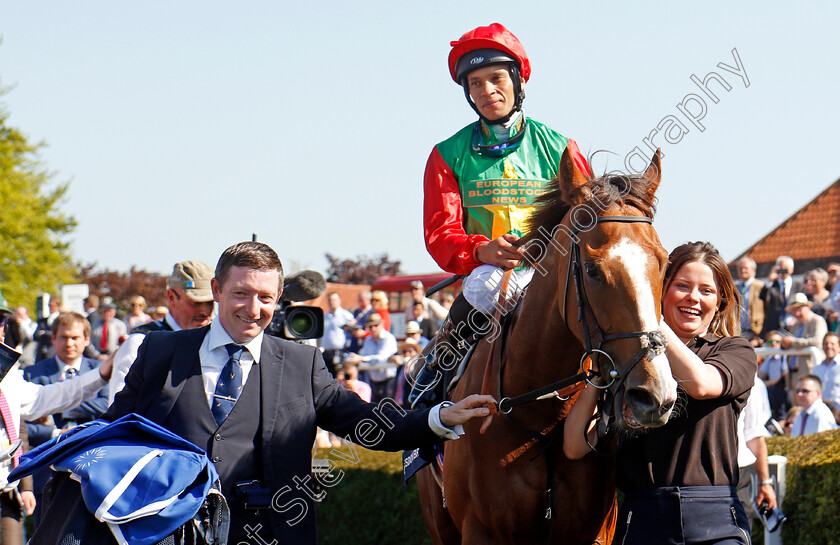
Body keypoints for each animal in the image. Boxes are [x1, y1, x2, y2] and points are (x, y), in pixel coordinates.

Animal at [416, 149, 680, 544]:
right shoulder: (481, 532)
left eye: (663, 263)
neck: (540, 421)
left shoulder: (598, 531)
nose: (653, 395)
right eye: (592, 270)